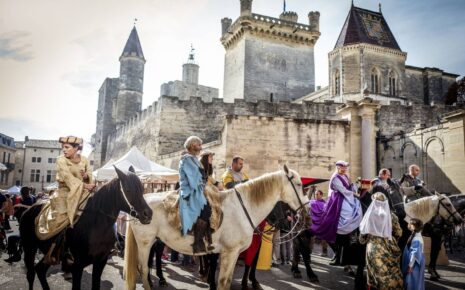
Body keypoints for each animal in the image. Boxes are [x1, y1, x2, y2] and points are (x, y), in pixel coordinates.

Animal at [19, 167, 152, 290]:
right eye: (128, 189)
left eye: (142, 188)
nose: (148, 214)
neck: (96, 225)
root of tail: (28, 209)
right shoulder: (77, 264)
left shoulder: (101, 260)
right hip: (29, 247)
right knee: (31, 274)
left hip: (50, 253)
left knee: (40, 270)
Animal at [122, 165, 308, 290]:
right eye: (299, 184)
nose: (306, 215)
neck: (242, 208)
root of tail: (137, 207)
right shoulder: (228, 252)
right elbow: (223, 281)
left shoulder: (232, 253)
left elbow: (227, 280)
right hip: (145, 242)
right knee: (143, 268)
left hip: (154, 241)